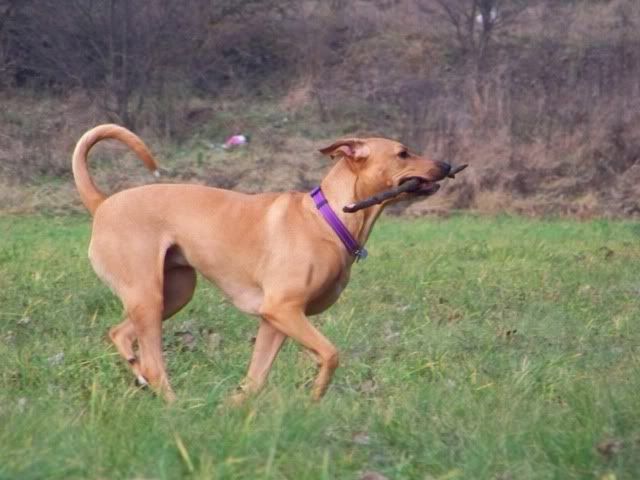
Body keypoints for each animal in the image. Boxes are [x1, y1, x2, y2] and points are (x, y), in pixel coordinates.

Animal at [72, 124, 452, 403]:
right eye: (403, 153)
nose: (448, 166)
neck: (328, 218)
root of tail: (102, 203)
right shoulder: (284, 309)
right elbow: (330, 354)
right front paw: (314, 398)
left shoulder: (275, 322)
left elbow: (256, 377)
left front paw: (235, 407)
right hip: (148, 295)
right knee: (153, 363)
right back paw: (174, 405)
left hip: (174, 293)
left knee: (121, 334)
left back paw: (139, 375)